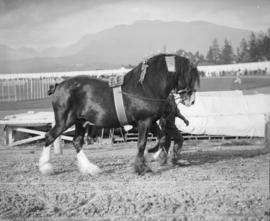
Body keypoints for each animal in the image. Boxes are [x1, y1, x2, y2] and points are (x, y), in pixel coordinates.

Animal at [39, 53, 199, 174]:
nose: (191, 101)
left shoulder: (151, 121)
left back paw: (90, 168)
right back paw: (45, 167)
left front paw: (156, 156)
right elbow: (142, 143)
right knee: (49, 136)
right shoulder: (144, 121)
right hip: (64, 121)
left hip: (81, 122)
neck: (146, 87)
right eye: (191, 76)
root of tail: (59, 85)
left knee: (77, 142)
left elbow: (163, 138)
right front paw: (141, 167)